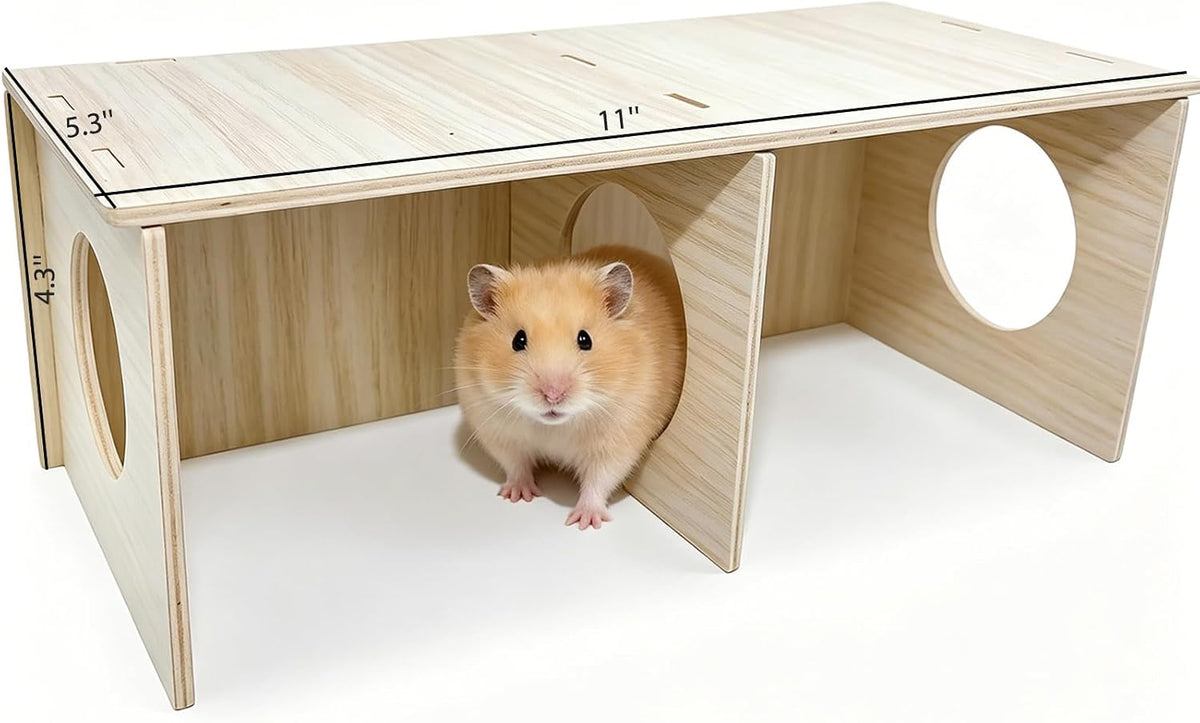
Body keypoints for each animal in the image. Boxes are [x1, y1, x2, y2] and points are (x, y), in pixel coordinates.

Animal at [454, 244, 686, 529]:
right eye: (518, 340)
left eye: (585, 340)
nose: (553, 394)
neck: (554, 427)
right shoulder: (498, 433)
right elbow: (516, 465)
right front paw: (519, 495)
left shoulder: (617, 443)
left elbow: (599, 480)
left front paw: (584, 521)